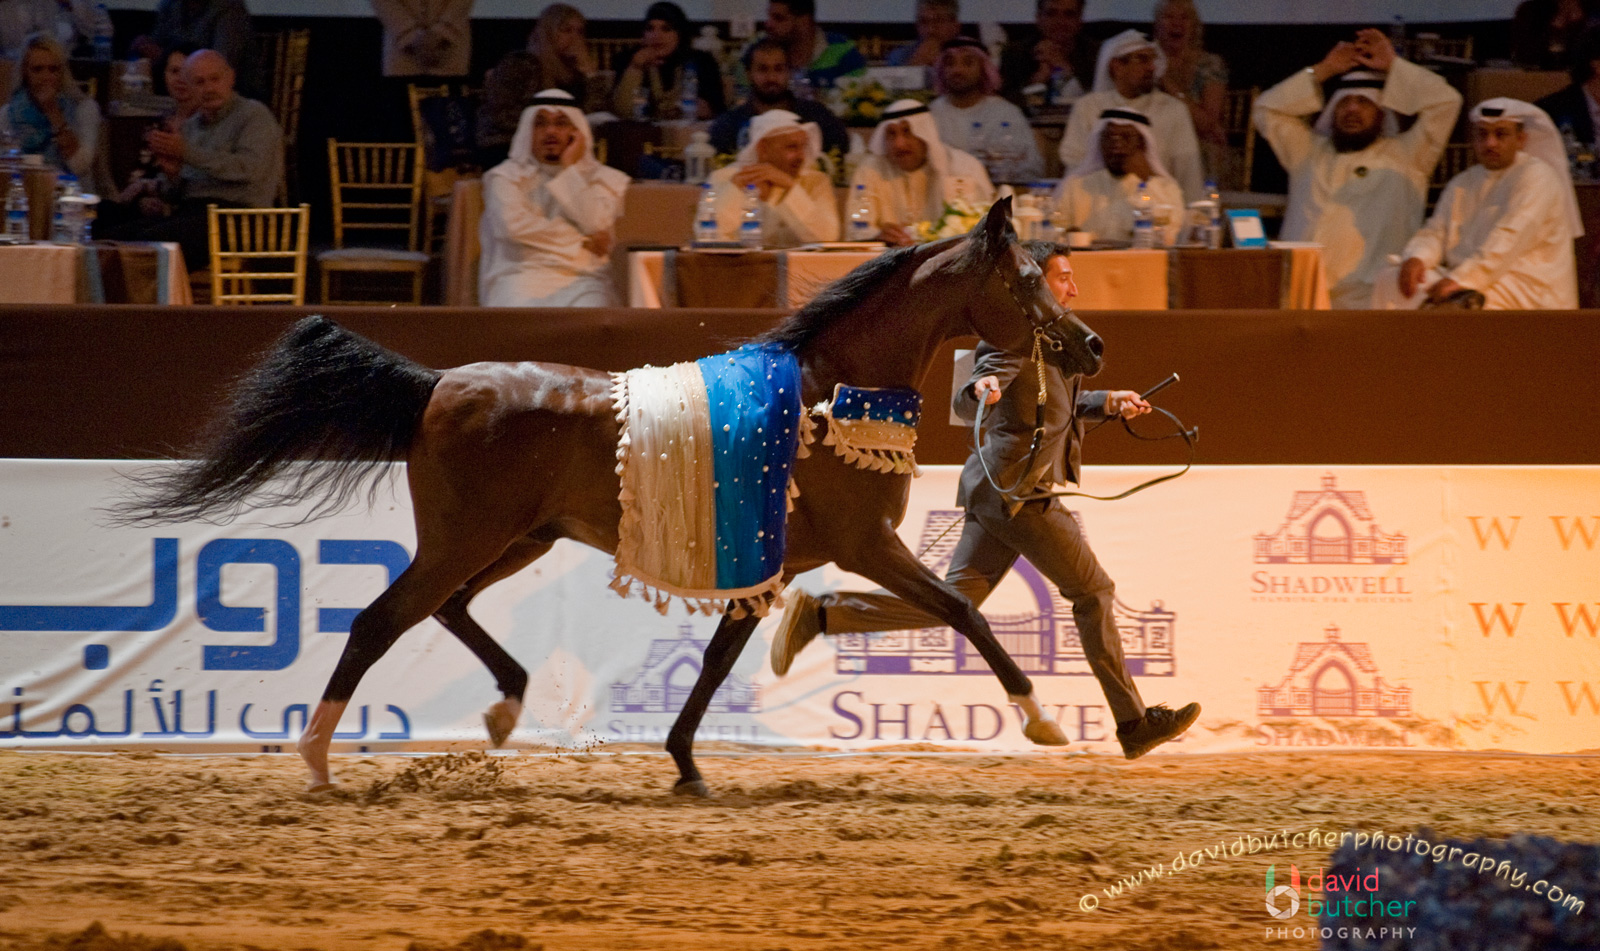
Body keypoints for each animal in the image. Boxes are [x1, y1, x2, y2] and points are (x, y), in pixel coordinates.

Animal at [117, 198, 1104, 796]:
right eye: (1025, 281)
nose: (1090, 344)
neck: (832, 394)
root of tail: (438, 383)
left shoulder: (777, 566)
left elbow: (713, 661)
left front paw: (684, 762)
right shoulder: (868, 547)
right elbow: (962, 613)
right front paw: (1044, 719)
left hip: (517, 539)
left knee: (448, 609)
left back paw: (507, 704)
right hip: (467, 537)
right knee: (379, 620)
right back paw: (320, 758)